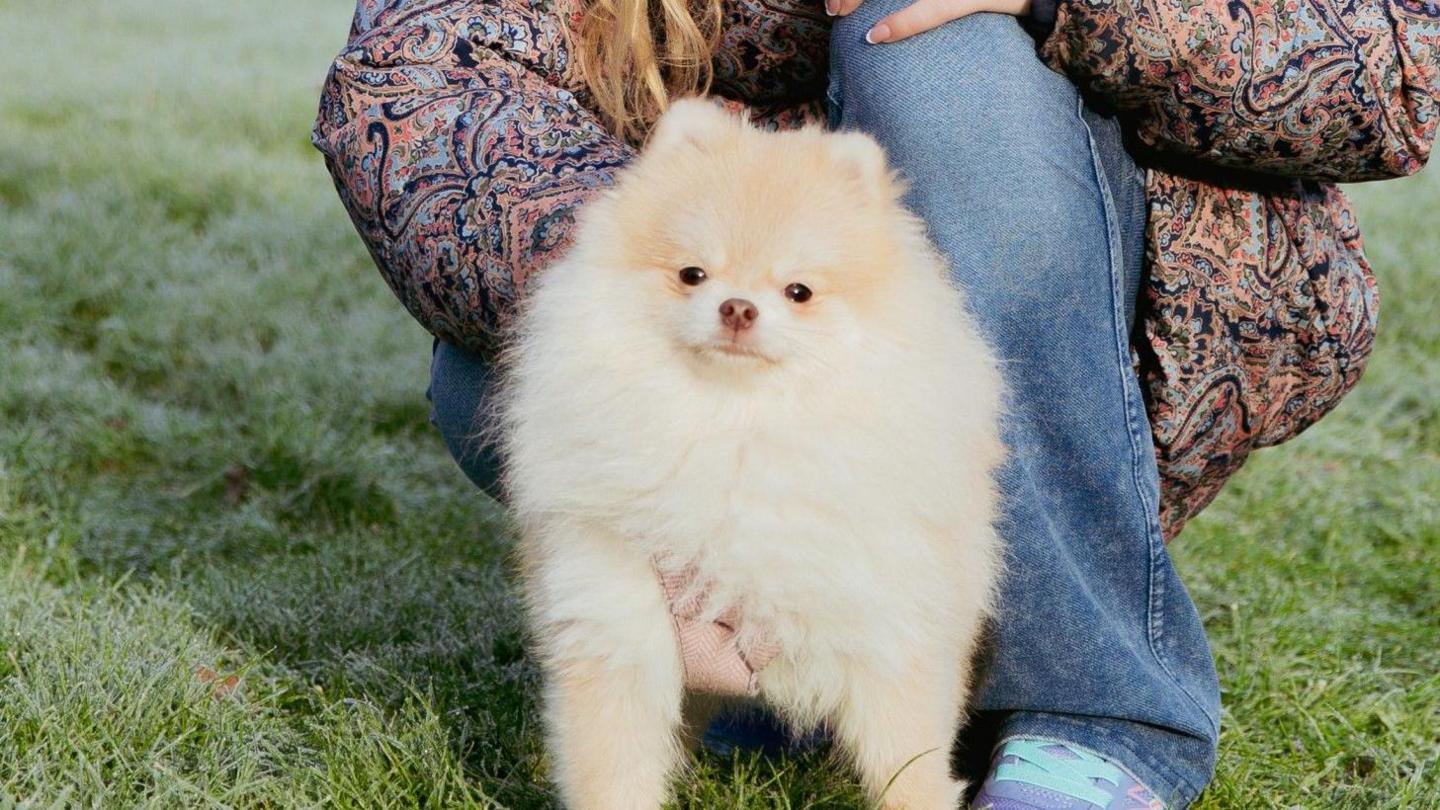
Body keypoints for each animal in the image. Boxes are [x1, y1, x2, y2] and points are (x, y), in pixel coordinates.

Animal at [495, 100, 1002, 807]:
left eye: (799, 291)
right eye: (692, 275)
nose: (737, 307)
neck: (737, 435)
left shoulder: (893, 631)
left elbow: (909, 774)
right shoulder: (612, 625)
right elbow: (614, 774)